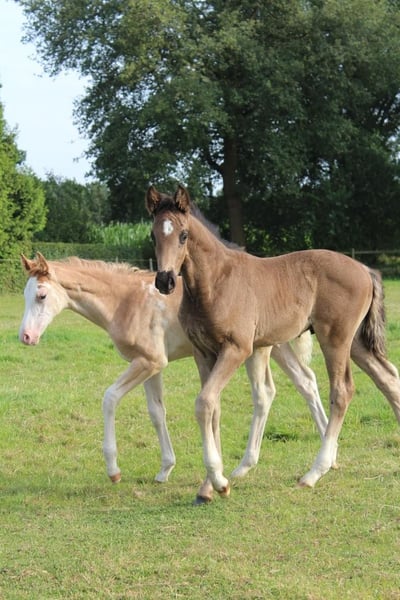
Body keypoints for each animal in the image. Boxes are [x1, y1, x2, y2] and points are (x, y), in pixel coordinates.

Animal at [19, 252, 330, 485]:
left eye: (42, 295)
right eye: (25, 295)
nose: (26, 337)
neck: (124, 301)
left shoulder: (150, 361)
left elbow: (110, 398)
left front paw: (113, 470)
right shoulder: (150, 365)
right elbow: (157, 412)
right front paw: (165, 469)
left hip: (261, 349)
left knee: (266, 393)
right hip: (277, 345)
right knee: (306, 381)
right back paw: (328, 449)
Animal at [146, 184, 400, 503]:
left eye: (183, 235)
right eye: (153, 235)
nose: (165, 281)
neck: (214, 283)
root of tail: (365, 269)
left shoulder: (237, 348)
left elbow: (204, 403)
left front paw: (218, 481)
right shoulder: (203, 353)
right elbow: (213, 408)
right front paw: (208, 488)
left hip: (335, 338)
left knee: (342, 391)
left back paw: (313, 474)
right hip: (355, 342)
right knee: (387, 378)